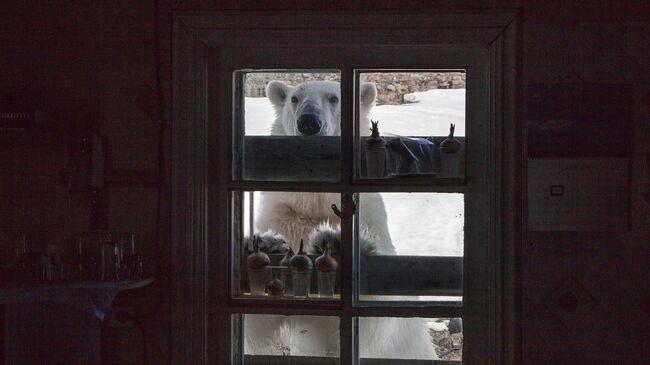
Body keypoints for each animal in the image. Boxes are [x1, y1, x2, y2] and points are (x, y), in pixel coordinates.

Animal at [243, 79, 436, 358]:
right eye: (294, 98)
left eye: (334, 98)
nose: (309, 123)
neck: (316, 205)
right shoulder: (283, 214)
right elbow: (255, 322)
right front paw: (265, 245)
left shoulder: (370, 218)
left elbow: (372, 321)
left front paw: (333, 243)